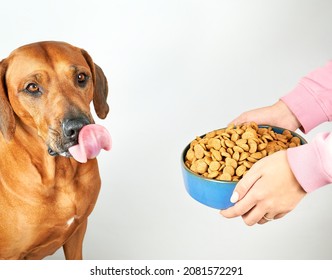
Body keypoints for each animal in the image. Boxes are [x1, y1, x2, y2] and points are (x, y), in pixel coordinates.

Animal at [0, 40, 109, 260]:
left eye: (81, 77)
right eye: (32, 87)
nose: (78, 127)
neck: (59, 174)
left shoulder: (77, 232)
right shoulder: (10, 255)